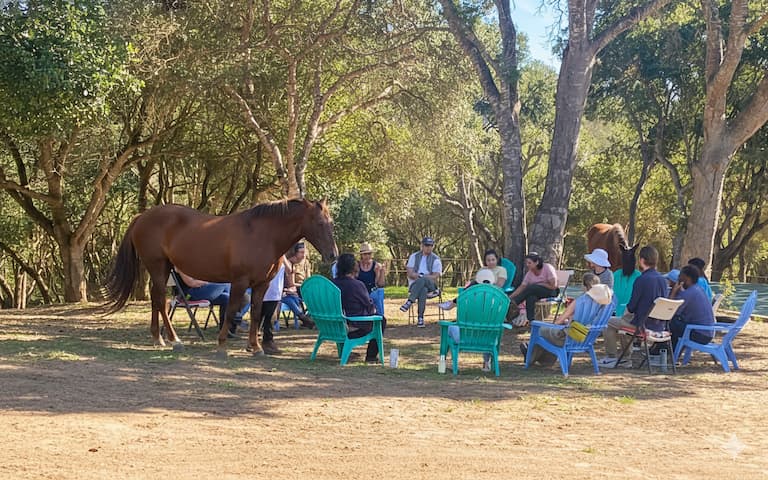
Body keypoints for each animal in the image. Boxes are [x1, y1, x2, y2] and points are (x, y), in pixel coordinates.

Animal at [104, 198, 337, 358]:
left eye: (331, 222)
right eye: (319, 222)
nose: (333, 255)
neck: (262, 234)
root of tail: (141, 217)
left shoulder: (262, 284)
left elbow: (256, 314)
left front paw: (256, 347)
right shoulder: (240, 282)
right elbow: (231, 311)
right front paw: (222, 345)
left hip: (161, 269)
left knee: (155, 300)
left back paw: (158, 338)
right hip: (158, 266)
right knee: (161, 301)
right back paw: (174, 340)